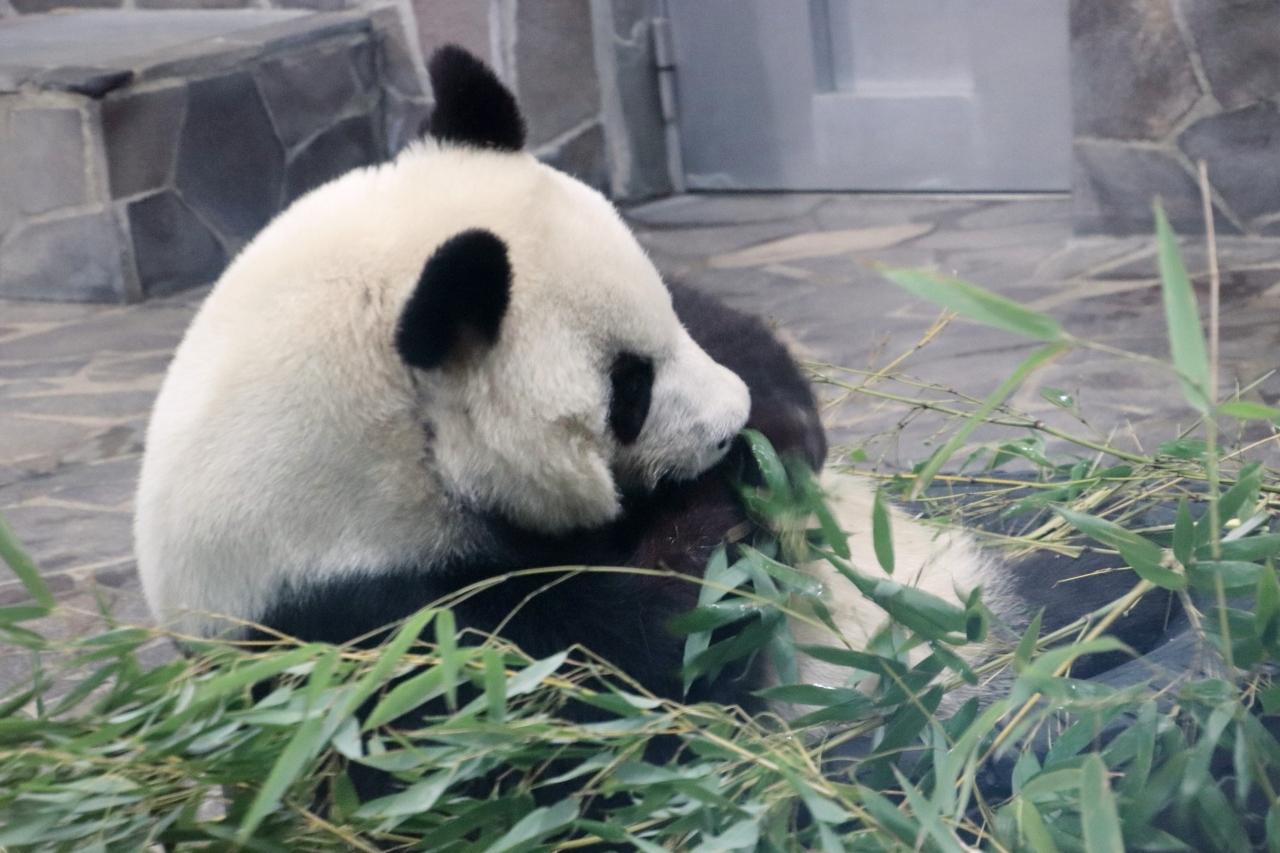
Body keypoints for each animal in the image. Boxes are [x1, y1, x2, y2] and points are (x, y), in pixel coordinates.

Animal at [134, 45, 1183, 723]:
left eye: (663, 314)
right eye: (627, 391)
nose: (734, 426)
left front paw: (781, 436)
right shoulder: (367, 624)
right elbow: (625, 678)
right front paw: (721, 529)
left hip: (997, 536)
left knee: (1104, 536)